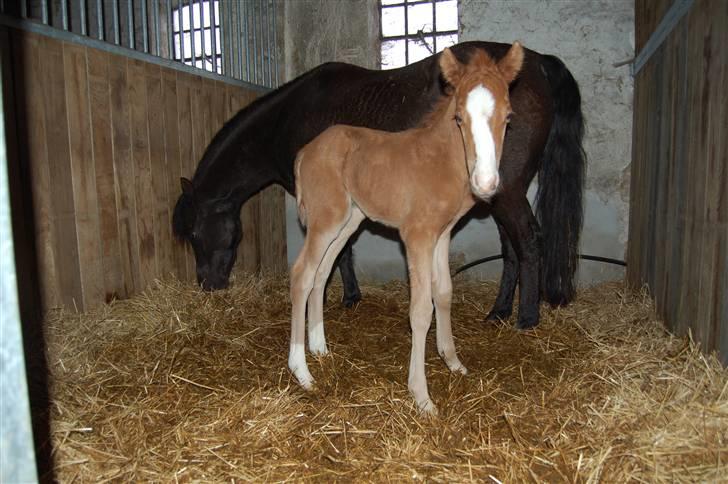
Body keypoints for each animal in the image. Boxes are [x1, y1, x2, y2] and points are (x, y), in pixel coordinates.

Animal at [290, 43, 524, 412]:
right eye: (459, 118)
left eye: (508, 117)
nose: (486, 183)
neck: (444, 161)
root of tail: (305, 151)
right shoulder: (417, 236)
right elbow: (421, 309)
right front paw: (421, 396)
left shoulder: (443, 234)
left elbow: (444, 293)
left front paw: (453, 361)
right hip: (325, 218)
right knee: (302, 274)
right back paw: (302, 372)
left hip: (348, 219)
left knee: (321, 272)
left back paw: (320, 349)